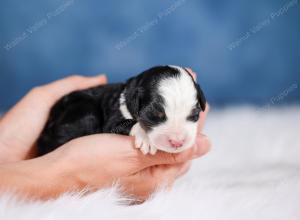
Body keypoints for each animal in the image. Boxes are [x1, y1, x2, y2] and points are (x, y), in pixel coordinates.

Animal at [37, 64, 206, 156]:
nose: (177, 142)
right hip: (84, 113)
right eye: (153, 115)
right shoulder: (112, 120)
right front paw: (145, 139)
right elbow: (126, 123)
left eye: (194, 114)